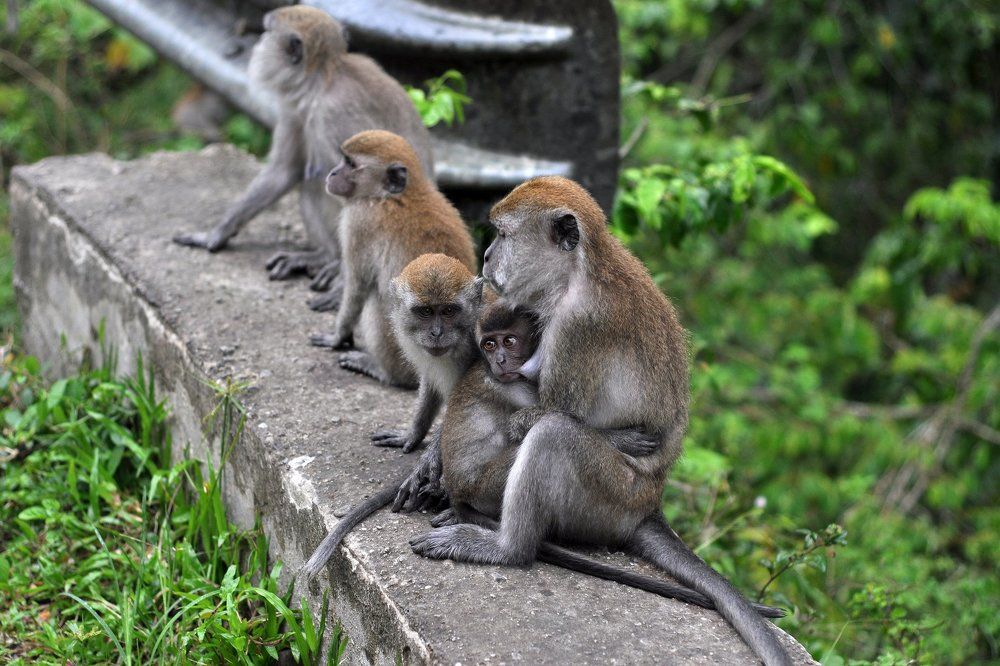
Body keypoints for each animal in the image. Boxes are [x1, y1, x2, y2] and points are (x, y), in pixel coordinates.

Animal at [172, 6, 433, 311]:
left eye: (266, 31)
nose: (256, 44)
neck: (322, 79)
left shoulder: (333, 113)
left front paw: (343, 283)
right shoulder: (294, 110)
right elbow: (283, 171)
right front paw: (215, 234)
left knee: (321, 179)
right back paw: (323, 256)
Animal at [308, 130, 476, 389]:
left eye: (350, 164)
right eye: (343, 160)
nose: (333, 172)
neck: (392, 195)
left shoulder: (358, 221)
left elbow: (357, 286)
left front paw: (337, 336)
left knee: (373, 300)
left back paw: (382, 370)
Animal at [408, 177, 794, 666]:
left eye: (503, 234)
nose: (488, 256)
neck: (578, 274)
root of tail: (648, 505)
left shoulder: (578, 327)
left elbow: (545, 413)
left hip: (608, 496)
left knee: (552, 436)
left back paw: (504, 547)